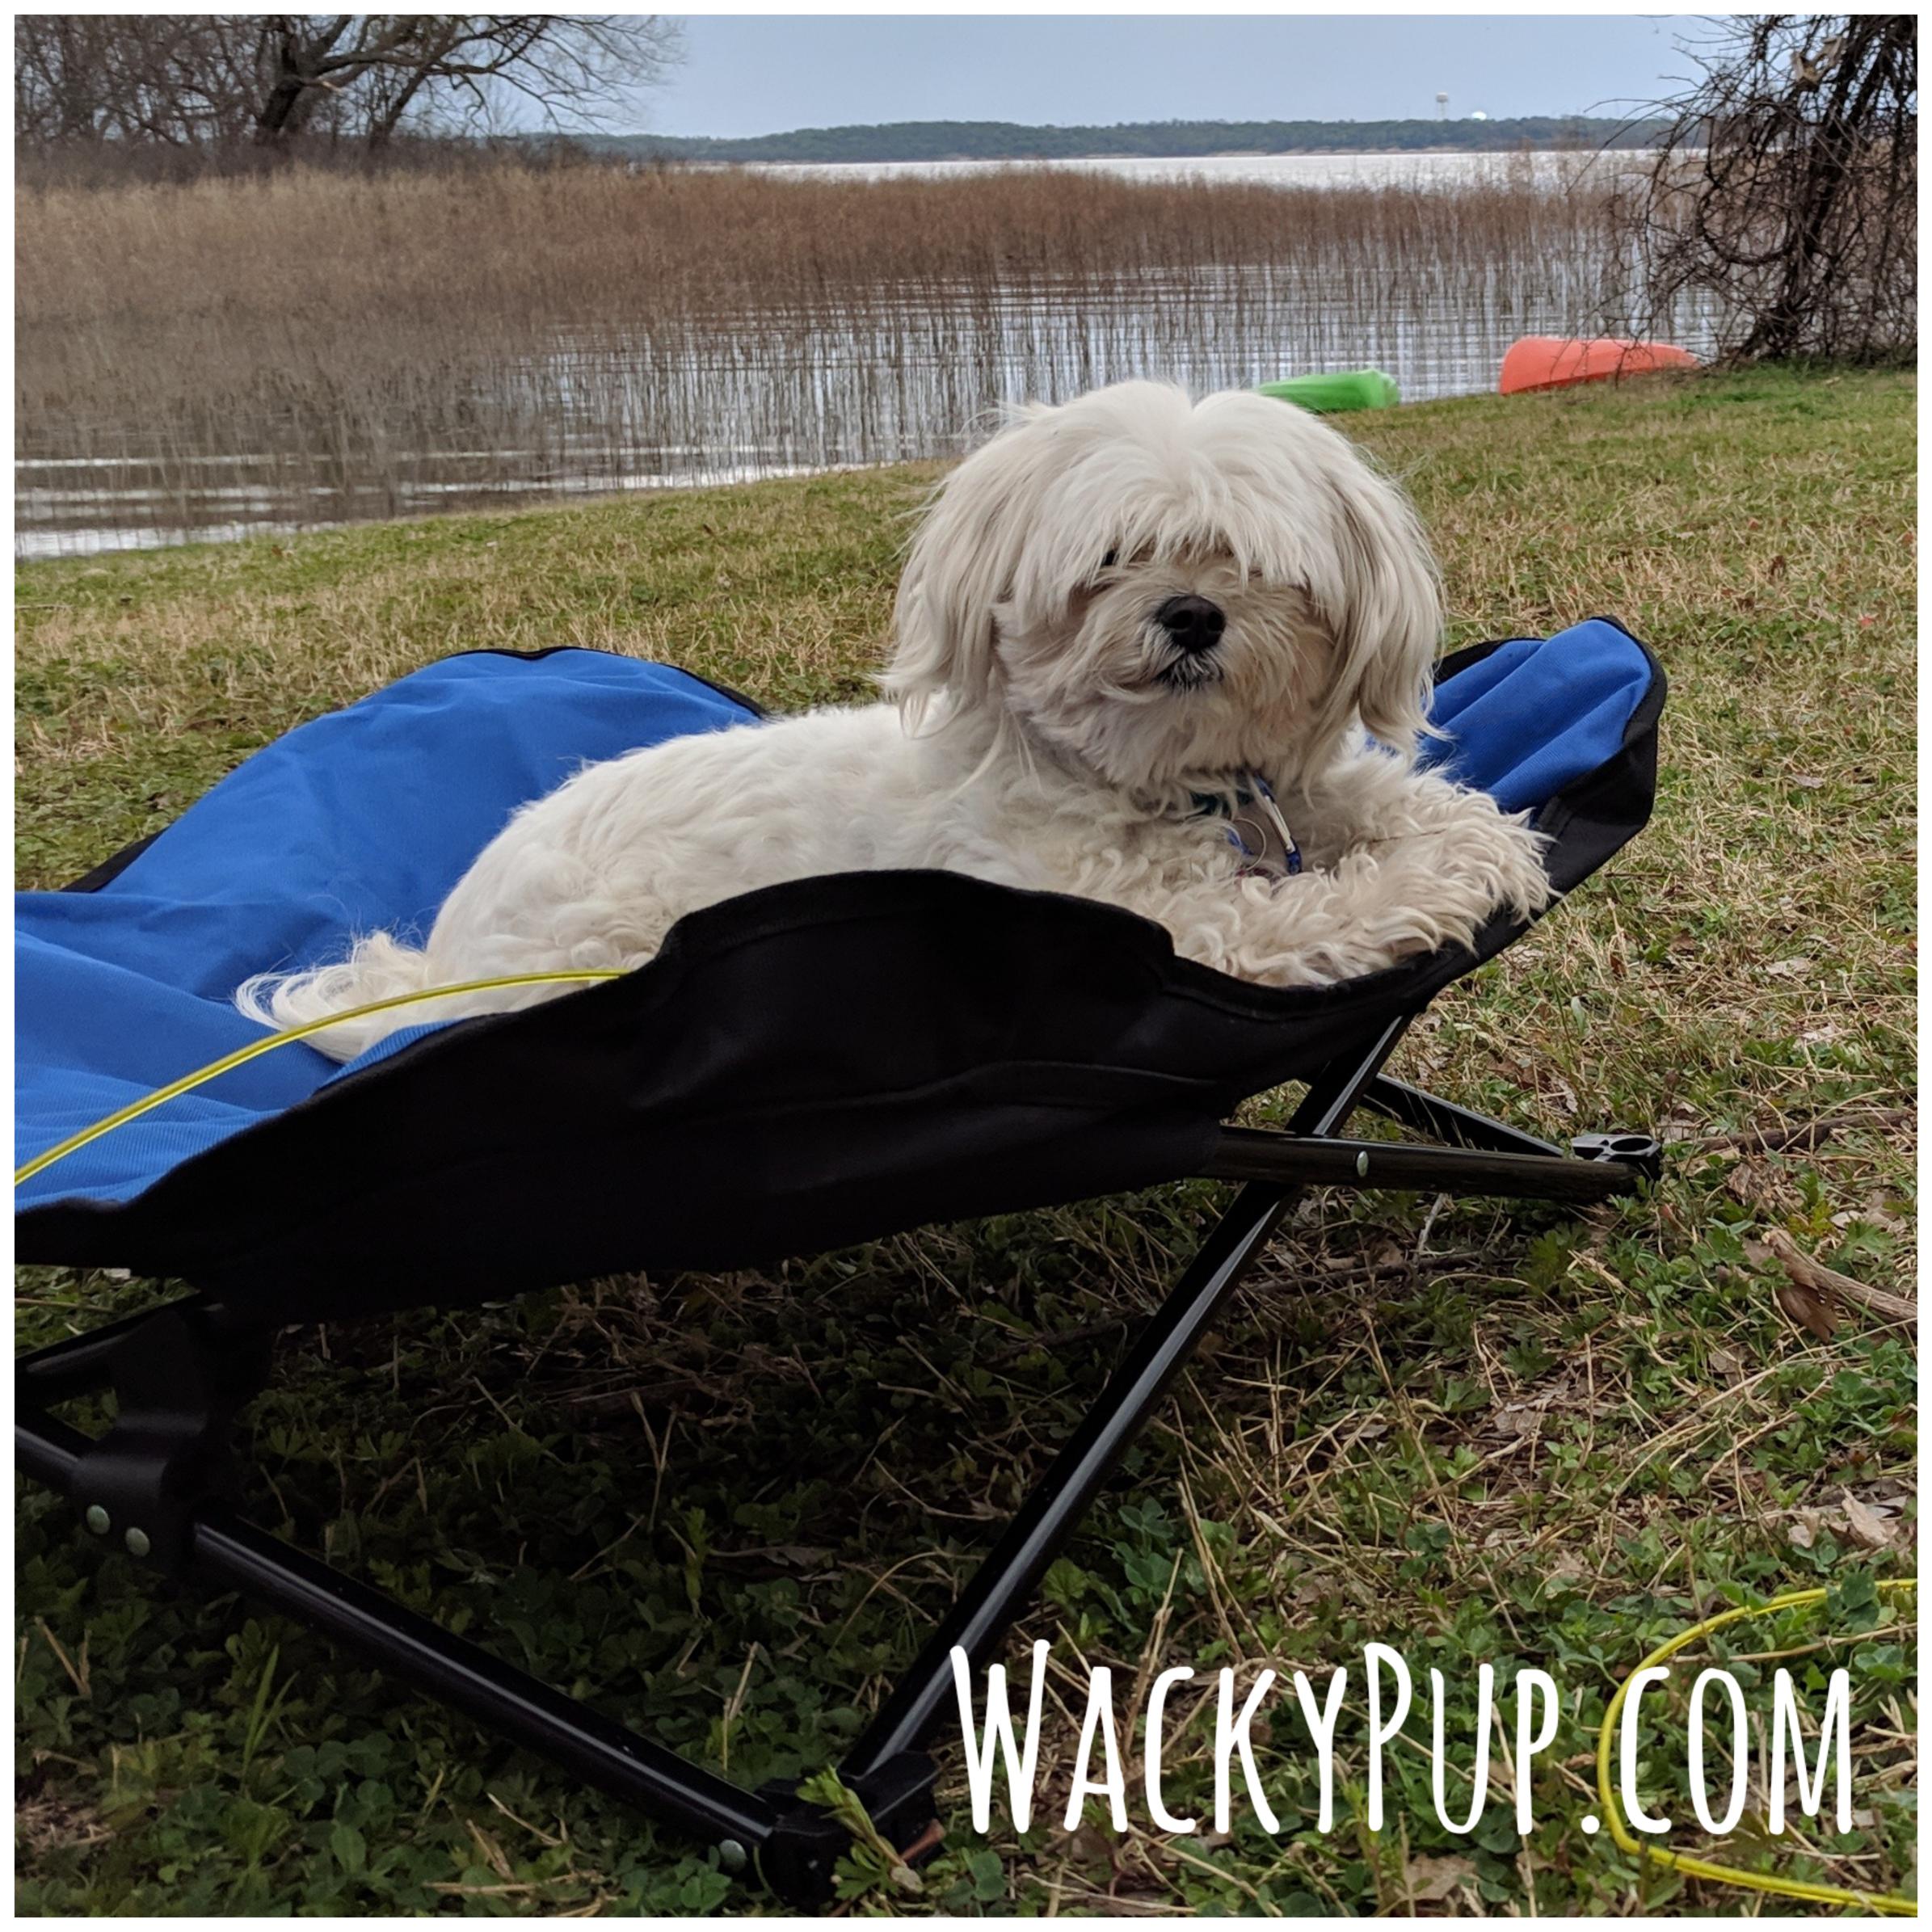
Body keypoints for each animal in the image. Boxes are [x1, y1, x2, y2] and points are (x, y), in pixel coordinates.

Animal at [241, 382, 1545, 1066]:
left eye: (1252, 562)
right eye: (1109, 560)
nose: (1190, 613)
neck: (1164, 782)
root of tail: (439, 966)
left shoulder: (1291, 790)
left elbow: (1395, 797)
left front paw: (1480, 835)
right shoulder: (1189, 936)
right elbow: (1326, 906)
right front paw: (1438, 875)